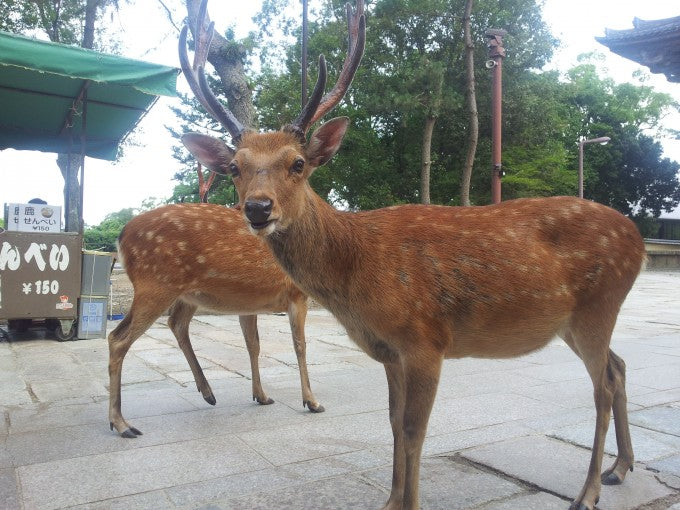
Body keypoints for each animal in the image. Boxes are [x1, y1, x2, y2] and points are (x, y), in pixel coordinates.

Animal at [179, 0, 644, 510]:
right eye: (234, 168)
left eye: (297, 163)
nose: (258, 208)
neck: (358, 275)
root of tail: (637, 237)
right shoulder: (389, 351)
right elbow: (391, 423)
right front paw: (389, 501)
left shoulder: (425, 340)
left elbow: (413, 429)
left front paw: (409, 501)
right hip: (574, 320)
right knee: (619, 368)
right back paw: (620, 469)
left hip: (599, 304)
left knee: (603, 385)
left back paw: (589, 491)